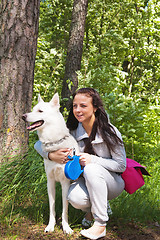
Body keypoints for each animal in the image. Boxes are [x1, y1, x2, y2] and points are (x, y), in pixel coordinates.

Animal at [22, 94, 79, 234]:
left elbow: (65, 209)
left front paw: (66, 227)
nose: (23, 116)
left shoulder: (65, 183)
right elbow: (52, 207)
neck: (55, 142)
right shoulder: (50, 182)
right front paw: (50, 225)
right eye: (33, 109)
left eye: (40, 111)